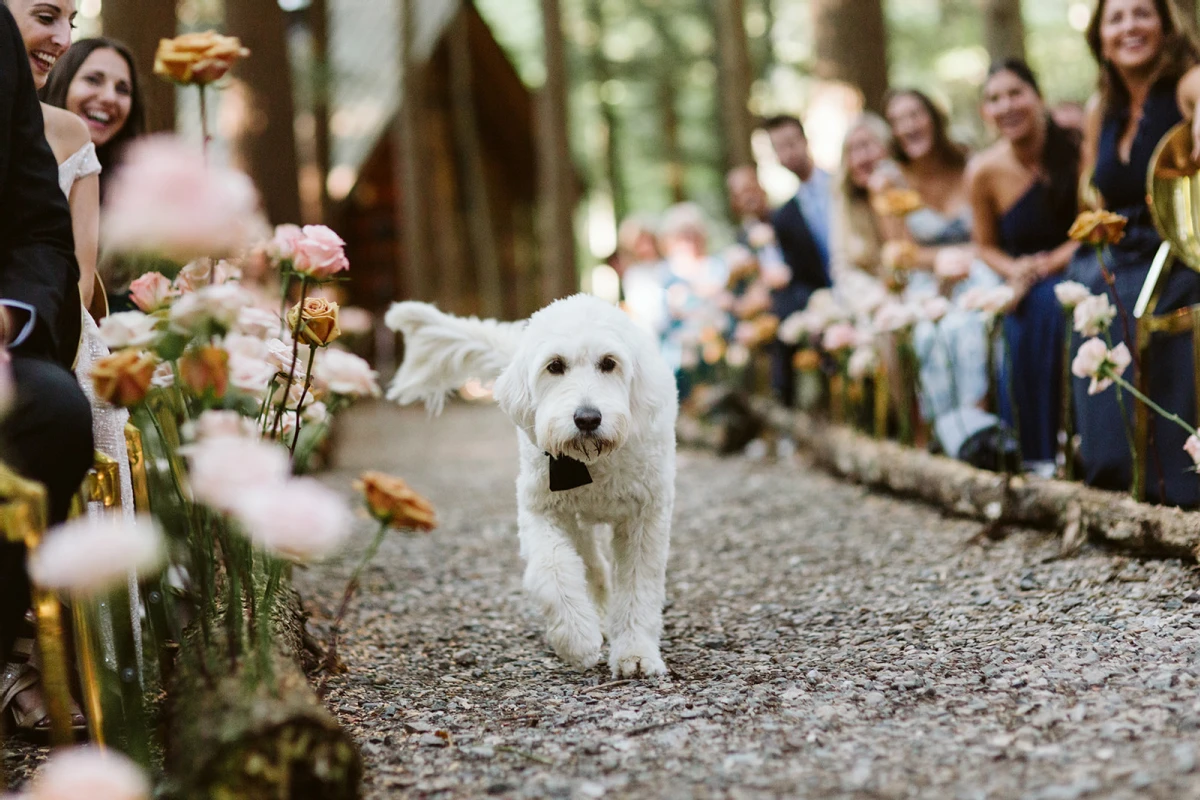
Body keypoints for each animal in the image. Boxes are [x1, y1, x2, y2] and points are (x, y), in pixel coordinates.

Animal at [388, 293, 681, 676]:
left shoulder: (644, 515)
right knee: (591, 565)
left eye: (609, 362)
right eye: (555, 366)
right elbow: (552, 570)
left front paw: (635, 653)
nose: (587, 418)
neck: (592, 462)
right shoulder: (541, 509)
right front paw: (576, 638)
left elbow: (638, 585)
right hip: (573, 518)